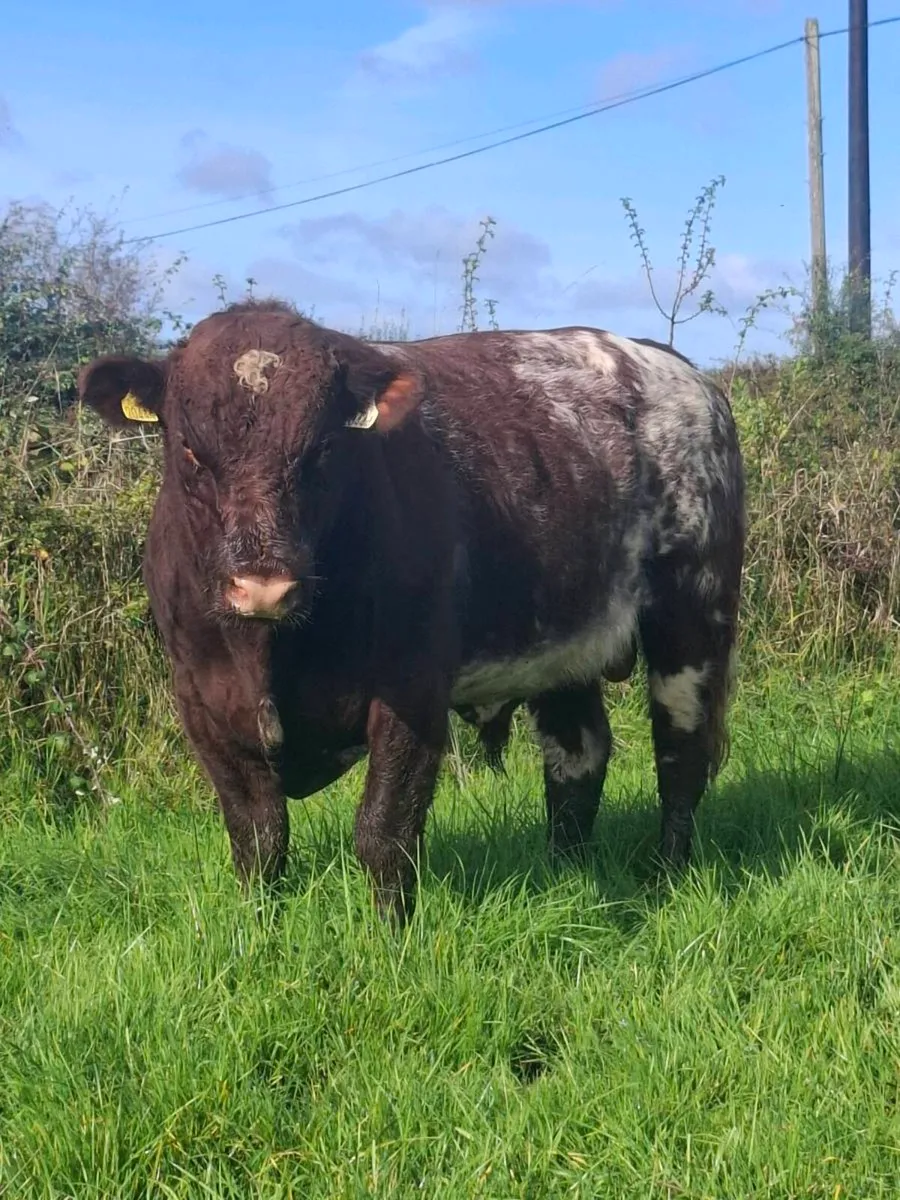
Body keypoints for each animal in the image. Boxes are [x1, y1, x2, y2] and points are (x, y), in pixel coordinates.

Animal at [78, 299, 744, 923]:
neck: (271, 652)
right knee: (577, 755)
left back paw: (667, 875)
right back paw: (566, 872)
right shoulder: (201, 700)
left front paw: (390, 937)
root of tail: (670, 364)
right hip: (566, 642)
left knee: (680, 753)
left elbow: (384, 830)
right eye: (190, 449)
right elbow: (257, 837)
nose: (262, 587)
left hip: (694, 616)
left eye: (323, 448)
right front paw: (257, 927)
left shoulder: (412, 691)